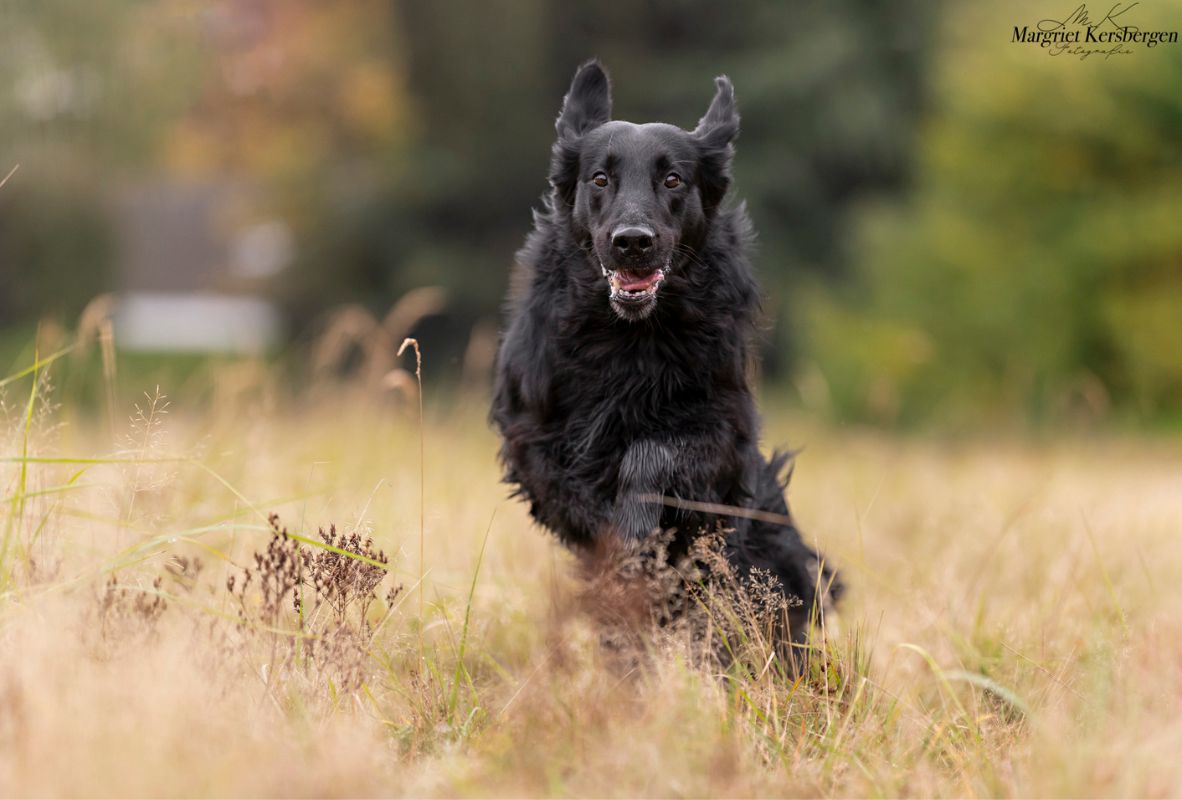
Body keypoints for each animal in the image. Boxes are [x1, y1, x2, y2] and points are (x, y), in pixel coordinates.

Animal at [489, 60, 841, 657]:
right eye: (599, 179)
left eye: (673, 179)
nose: (633, 241)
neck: (628, 337)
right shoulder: (527, 432)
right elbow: (567, 490)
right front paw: (610, 534)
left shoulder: (720, 432)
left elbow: (655, 455)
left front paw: (634, 524)